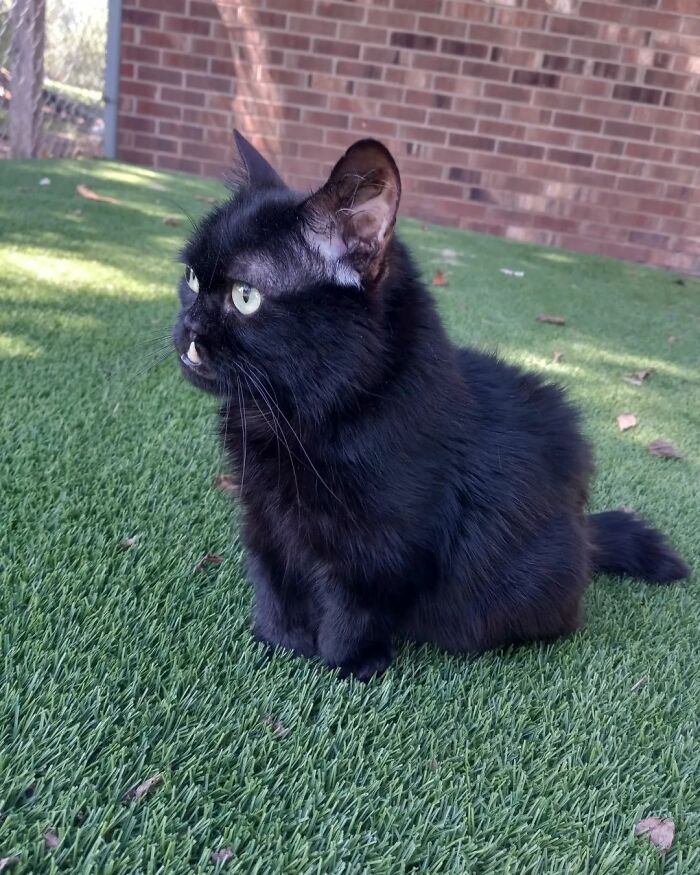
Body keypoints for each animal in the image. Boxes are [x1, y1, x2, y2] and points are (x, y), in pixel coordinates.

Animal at [171, 130, 688, 680]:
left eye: (245, 297)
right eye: (192, 279)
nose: (188, 329)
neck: (296, 419)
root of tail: (585, 536)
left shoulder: (384, 546)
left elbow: (353, 611)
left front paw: (347, 668)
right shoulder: (264, 517)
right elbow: (274, 585)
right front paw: (277, 645)